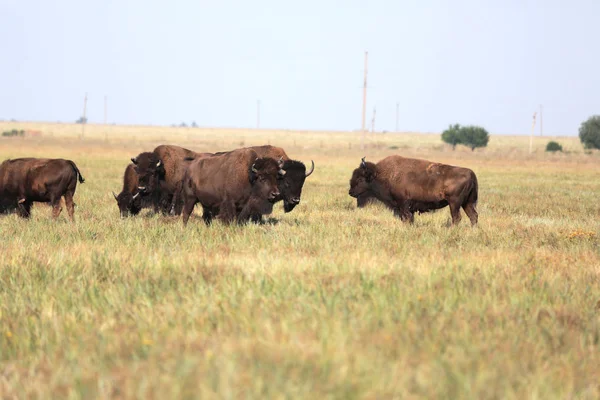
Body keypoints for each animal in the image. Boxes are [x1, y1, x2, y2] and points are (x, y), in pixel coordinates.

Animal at [346, 155, 478, 225]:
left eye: (360, 179)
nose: (351, 192)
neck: (381, 174)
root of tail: (471, 173)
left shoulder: (403, 205)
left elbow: (406, 218)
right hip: (467, 203)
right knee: (473, 216)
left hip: (454, 203)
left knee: (457, 218)